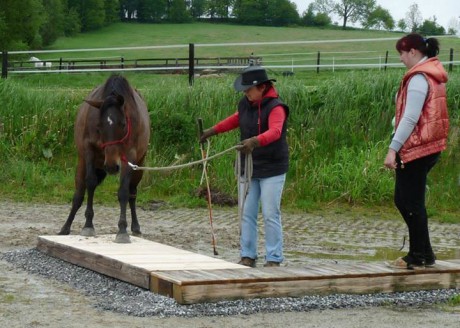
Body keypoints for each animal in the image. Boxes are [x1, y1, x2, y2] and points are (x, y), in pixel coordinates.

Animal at [58, 75, 150, 243]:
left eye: (123, 124)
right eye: (99, 125)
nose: (112, 166)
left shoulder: (130, 156)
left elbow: (124, 192)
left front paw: (122, 230)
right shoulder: (89, 150)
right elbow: (90, 183)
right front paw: (88, 225)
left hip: (138, 166)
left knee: (132, 193)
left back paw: (135, 227)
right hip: (83, 163)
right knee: (79, 194)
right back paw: (65, 227)